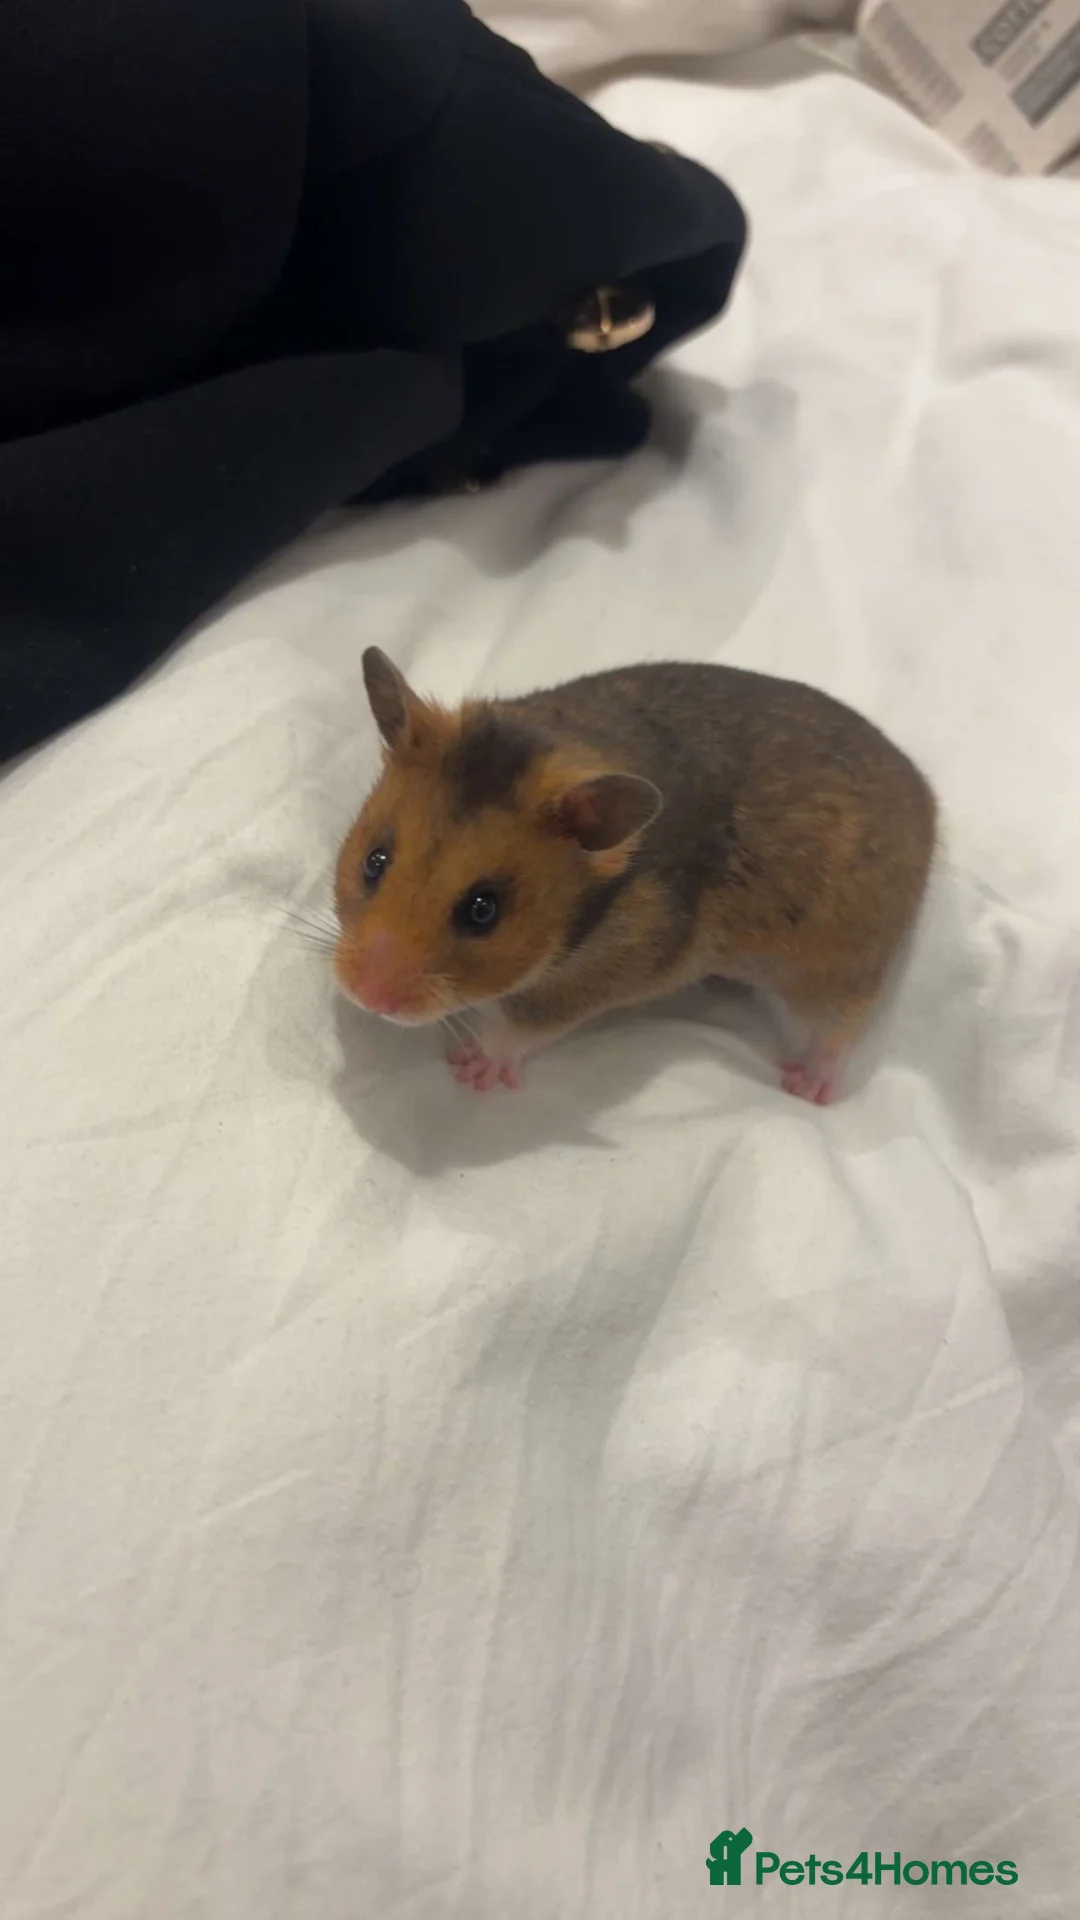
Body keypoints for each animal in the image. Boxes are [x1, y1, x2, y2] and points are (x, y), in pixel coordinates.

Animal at [333, 649, 936, 1103]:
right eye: (374, 861)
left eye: (484, 911)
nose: (364, 997)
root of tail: (924, 794)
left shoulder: (601, 974)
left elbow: (526, 1025)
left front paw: (471, 1067)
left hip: (830, 962)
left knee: (845, 1020)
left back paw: (806, 1084)